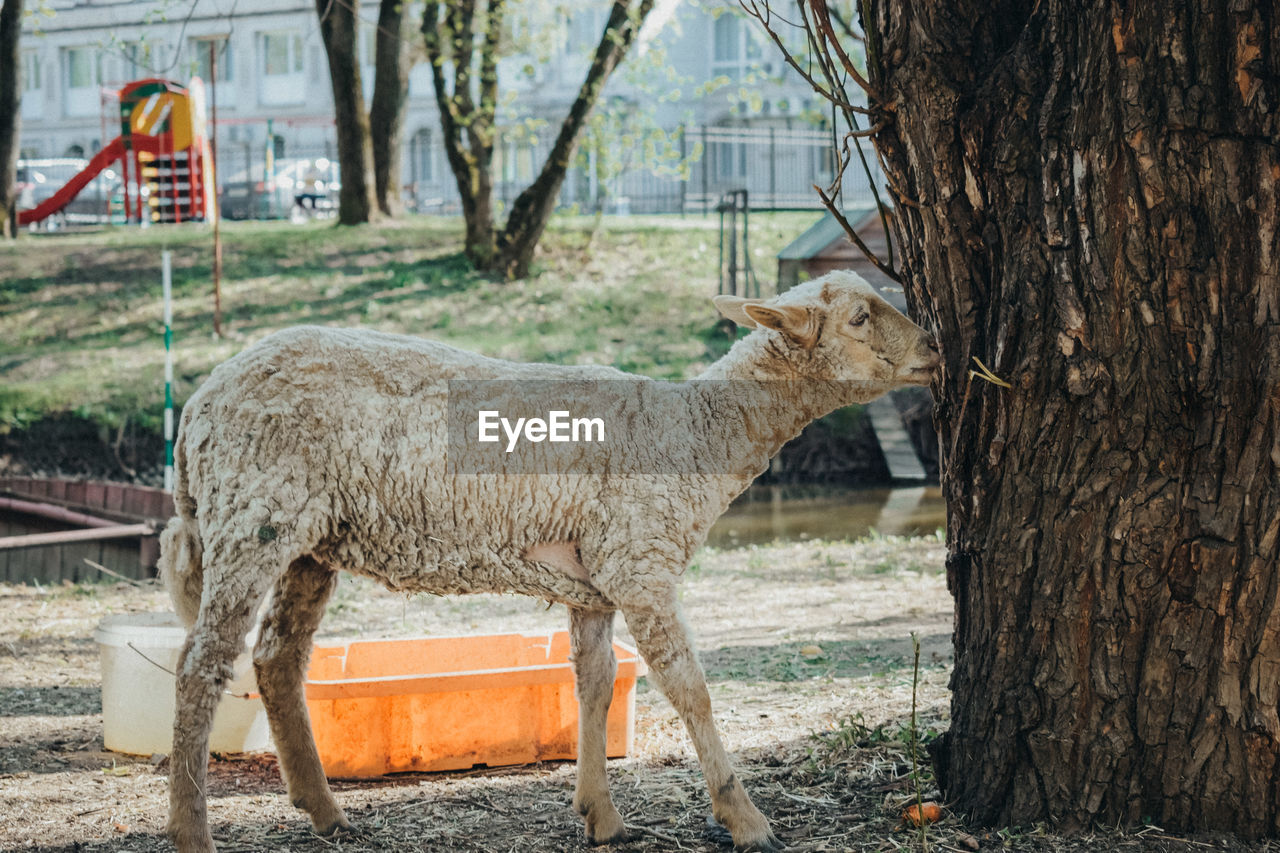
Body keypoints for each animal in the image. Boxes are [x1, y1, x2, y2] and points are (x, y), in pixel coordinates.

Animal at [157, 267, 942, 850]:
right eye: (860, 318)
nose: (935, 349)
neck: (697, 432)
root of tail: (198, 403)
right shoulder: (640, 560)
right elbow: (690, 688)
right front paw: (745, 819)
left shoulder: (594, 578)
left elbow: (594, 684)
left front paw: (601, 814)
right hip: (253, 515)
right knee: (200, 668)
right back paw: (192, 832)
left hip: (310, 538)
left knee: (277, 657)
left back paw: (324, 811)